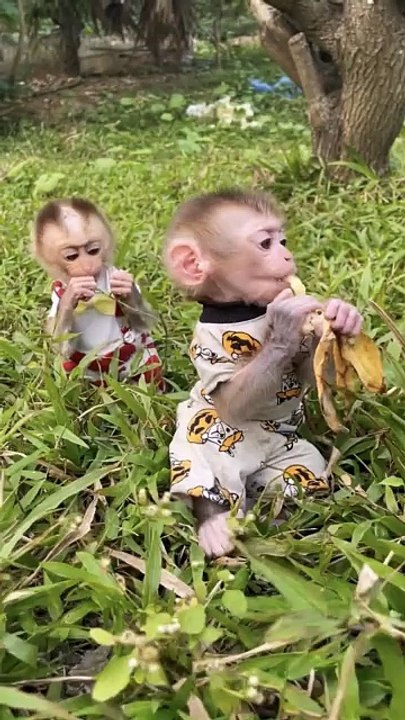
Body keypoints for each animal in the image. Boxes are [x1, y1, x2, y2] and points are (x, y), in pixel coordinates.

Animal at [33, 197, 164, 387]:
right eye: (71, 256)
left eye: (93, 251)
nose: (88, 265)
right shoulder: (55, 297)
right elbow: (60, 346)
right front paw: (71, 295)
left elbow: (146, 323)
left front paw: (126, 288)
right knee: (68, 373)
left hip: (140, 357)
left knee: (149, 371)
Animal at [163, 189, 363, 559]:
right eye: (266, 244)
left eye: (282, 240)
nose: (287, 255)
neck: (243, 309)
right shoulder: (209, 345)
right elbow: (231, 402)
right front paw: (285, 322)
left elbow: (313, 369)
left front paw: (342, 315)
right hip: (200, 433)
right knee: (211, 460)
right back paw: (216, 525)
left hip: (293, 463)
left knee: (298, 477)